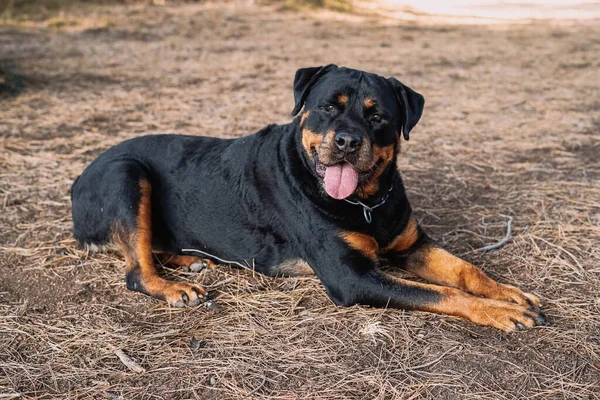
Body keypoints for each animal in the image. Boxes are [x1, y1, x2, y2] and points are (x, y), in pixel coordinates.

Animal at [70, 64, 544, 332]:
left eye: (378, 115)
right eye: (328, 107)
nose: (348, 141)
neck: (365, 203)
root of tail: (77, 181)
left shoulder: (412, 245)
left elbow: (464, 270)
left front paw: (507, 294)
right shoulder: (352, 277)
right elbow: (442, 293)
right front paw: (499, 312)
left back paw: (191, 260)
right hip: (126, 173)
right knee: (136, 269)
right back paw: (174, 286)